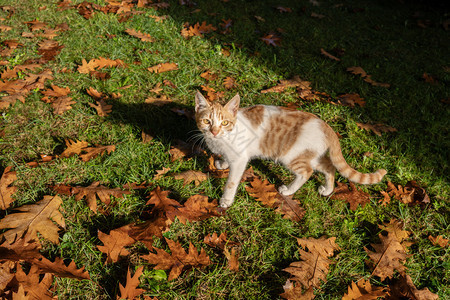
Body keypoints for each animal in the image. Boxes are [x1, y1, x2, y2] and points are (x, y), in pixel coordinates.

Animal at [193, 91, 386, 209]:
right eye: (207, 121)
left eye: (225, 123)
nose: (214, 131)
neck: (222, 139)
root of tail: (326, 126)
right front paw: (222, 163)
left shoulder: (240, 159)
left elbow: (231, 183)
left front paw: (225, 200)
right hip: (311, 154)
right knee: (329, 167)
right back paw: (327, 189)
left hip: (291, 156)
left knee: (306, 172)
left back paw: (289, 191)